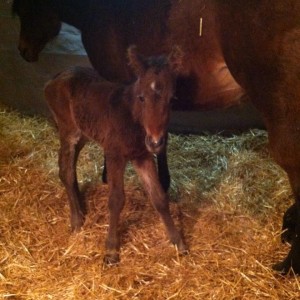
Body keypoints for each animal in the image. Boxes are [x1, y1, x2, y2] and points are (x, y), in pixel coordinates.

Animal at [44, 45, 186, 264]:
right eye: (141, 97)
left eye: (171, 100)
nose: (156, 142)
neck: (132, 119)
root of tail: (56, 76)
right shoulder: (114, 155)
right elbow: (116, 199)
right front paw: (111, 249)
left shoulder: (142, 156)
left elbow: (159, 197)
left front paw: (178, 242)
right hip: (68, 130)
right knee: (65, 170)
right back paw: (76, 220)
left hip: (84, 133)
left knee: (71, 164)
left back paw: (80, 205)